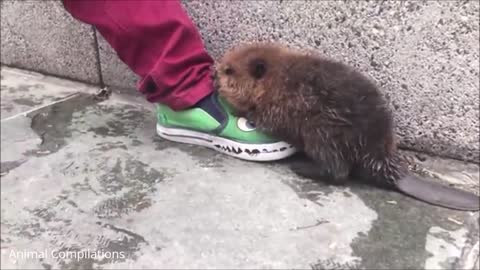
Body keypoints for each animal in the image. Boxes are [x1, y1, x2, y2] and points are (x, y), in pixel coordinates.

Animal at [215, 41, 480, 211]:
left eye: (229, 70)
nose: (215, 73)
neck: (278, 79)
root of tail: (390, 168)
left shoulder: (279, 106)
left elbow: (263, 117)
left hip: (322, 131)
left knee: (338, 171)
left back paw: (301, 167)